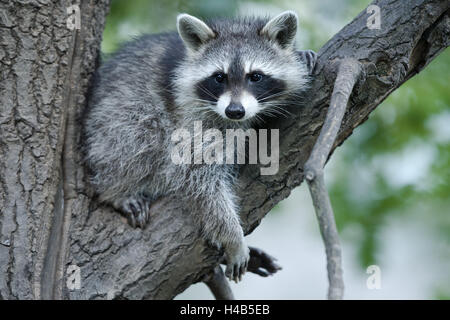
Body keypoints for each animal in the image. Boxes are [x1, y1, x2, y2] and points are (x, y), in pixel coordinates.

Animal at [83, 10, 316, 282]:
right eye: (219, 77)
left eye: (255, 76)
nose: (234, 111)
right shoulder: (192, 117)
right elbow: (197, 175)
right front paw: (232, 235)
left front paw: (302, 56)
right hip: (111, 119)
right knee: (136, 133)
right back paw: (116, 189)